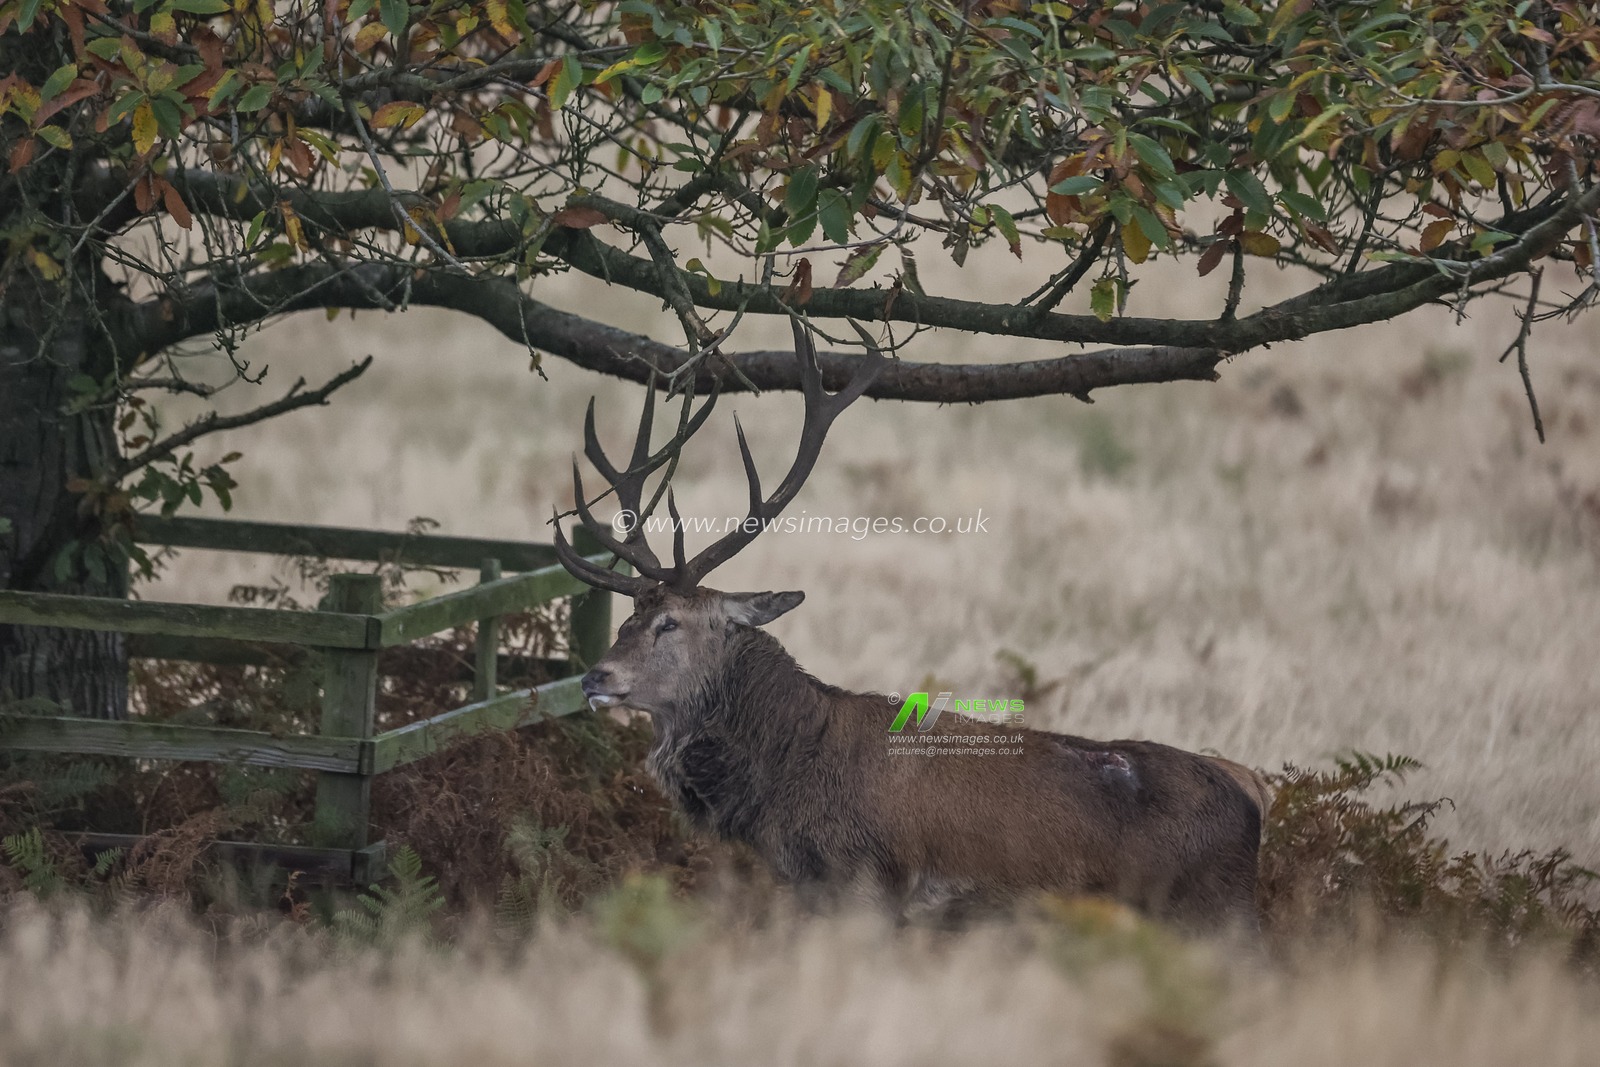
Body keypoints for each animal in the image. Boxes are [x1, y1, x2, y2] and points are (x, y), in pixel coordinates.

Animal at [553, 321, 1269, 930]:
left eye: (671, 623)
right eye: (630, 618)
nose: (595, 676)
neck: (787, 784)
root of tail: (1255, 792)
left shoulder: (868, 884)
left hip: (1212, 910)